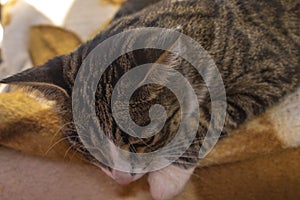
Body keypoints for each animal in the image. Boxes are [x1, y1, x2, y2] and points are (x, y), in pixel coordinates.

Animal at [1, 0, 298, 200]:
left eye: (142, 141)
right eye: (91, 149)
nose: (122, 181)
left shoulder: (271, 69)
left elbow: (209, 114)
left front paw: (168, 177)